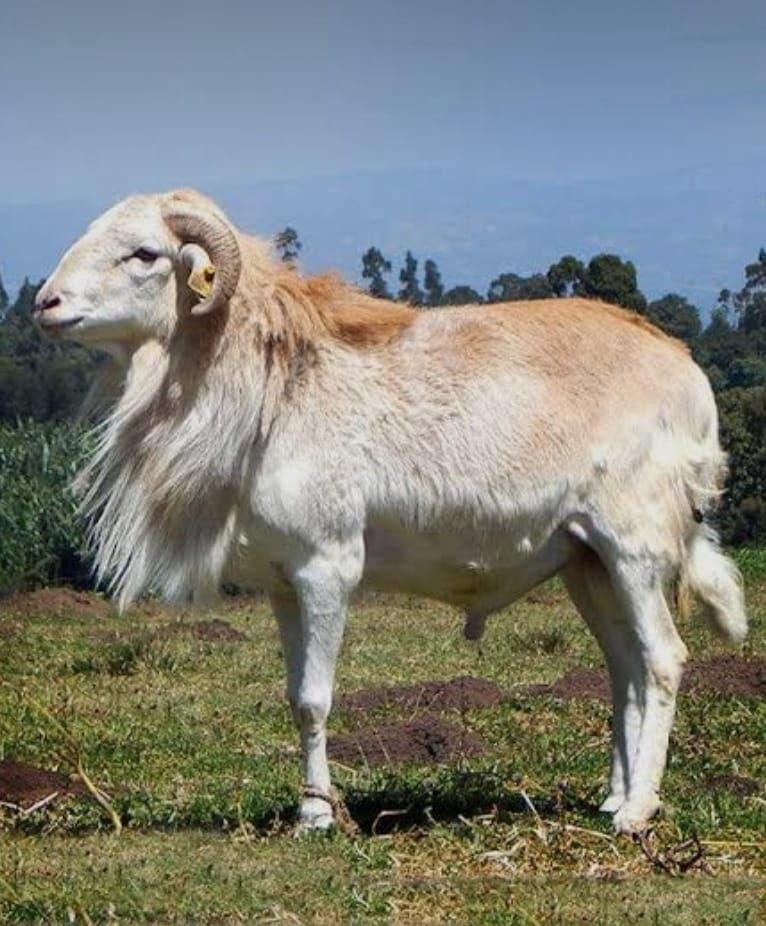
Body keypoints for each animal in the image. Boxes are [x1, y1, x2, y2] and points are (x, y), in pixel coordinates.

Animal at [34, 188, 747, 835]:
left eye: (144, 254)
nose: (46, 304)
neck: (270, 388)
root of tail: (688, 378)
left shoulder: (327, 567)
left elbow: (315, 700)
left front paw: (319, 818)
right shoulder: (284, 584)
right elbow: (293, 697)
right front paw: (309, 807)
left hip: (633, 548)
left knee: (662, 660)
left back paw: (636, 814)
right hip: (587, 562)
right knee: (625, 670)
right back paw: (611, 800)